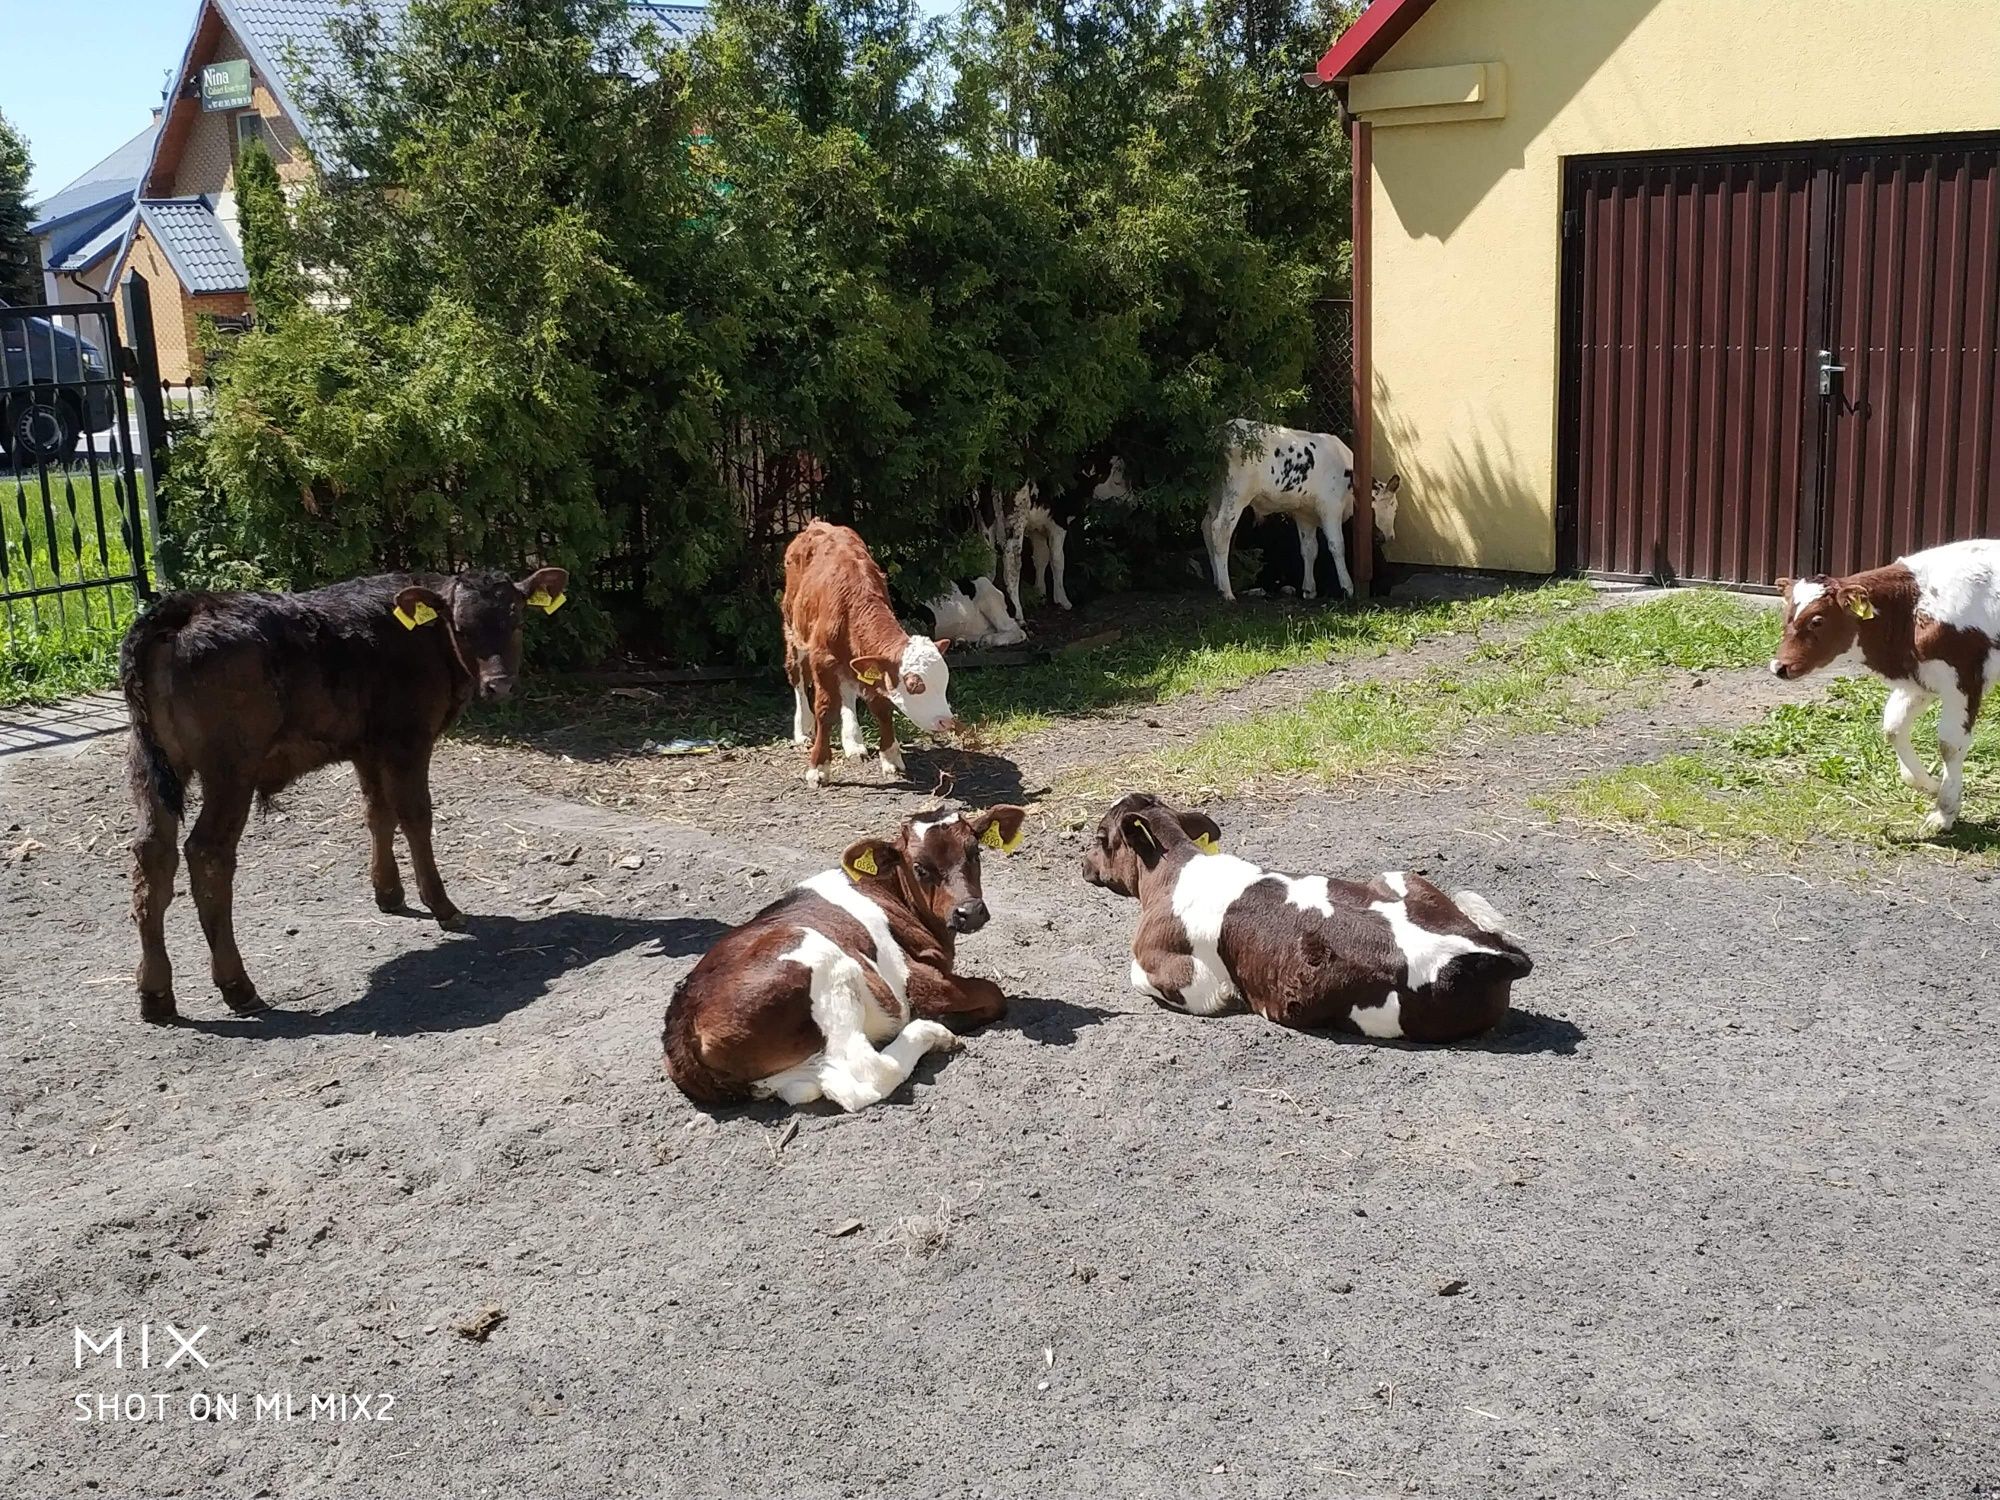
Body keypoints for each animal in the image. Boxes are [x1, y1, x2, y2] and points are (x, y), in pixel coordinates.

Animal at [121, 568, 568, 1032]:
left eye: (517, 620)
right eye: (461, 628)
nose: (500, 685)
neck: (421, 636)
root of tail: (185, 608)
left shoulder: (366, 746)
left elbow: (378, 813)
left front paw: (389, 892)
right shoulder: (408, 739)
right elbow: (415, 816)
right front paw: (442, 905)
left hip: (148, 761)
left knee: (153, 855)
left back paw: (156, 993)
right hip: (230, 768)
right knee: (207, 854)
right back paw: (237, 986)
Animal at [664, 804, 1024, 1112]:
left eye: (975, 852)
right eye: (920, 868)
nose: (970, 912)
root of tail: (681, 1023)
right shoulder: (915, 980)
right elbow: (994, 994)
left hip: (776, 1072)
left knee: (819, 1086)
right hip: (828, 965)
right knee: (870, 1071)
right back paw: (933, 1033)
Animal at [784, 524, 956, 788]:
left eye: (945, 681)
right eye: (914, 685)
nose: (946, 721)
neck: (852, 603)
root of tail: (818, 524)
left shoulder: (870, 660)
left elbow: (882, 707)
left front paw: (891, 757)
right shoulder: (822, 660)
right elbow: (825, 710)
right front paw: (818, 767)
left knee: (847, 691)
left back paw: (853, 743)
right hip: (794, 629)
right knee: (798, 677)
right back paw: (802, 731)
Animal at [1080, 800, 1528, 1048]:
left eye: (1101, 838)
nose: (1082, 864)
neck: (1173, 871)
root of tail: (1486, 950)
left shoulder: (1190, 980)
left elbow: (1139, 975)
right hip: (1397, 875)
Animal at [1768, 548, 2000, 840]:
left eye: (1817, 620)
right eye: (1786, 617)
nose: (1779, 667)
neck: (1913, 606)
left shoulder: (1963, 679)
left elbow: (1950, 745)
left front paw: (1943, 813)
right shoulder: (1918, 680)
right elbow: (1893, 727)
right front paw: (1931, 785)